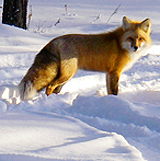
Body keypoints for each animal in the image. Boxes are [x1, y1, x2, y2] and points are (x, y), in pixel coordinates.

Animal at [18, 16, 151, 99]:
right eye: (130, 38)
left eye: (140, 39)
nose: (136, 47)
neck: (119, 43)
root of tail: (54, 41)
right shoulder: (115, 72)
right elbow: (114, 92)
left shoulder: (108, 73)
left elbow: (109, 91)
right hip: (67, 74)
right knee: (50, 86)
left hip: (65, 76)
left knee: (55, 88)